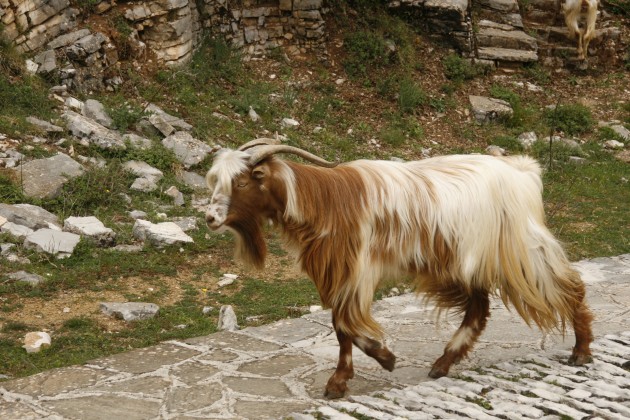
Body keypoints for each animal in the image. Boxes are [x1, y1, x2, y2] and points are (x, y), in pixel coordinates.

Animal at [205, 139, 596, 398]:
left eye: (241, 182)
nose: (209, 218)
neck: (326, 202)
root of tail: (523, 172)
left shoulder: (355, 271)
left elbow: (344, 323)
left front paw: (382, 359)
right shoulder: (336, 273)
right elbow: (340, 328)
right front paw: (344, 378)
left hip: (520, 252)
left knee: (569, 286)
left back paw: (581, 352)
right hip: (467, 261)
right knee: (479, 309)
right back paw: (443, 363)